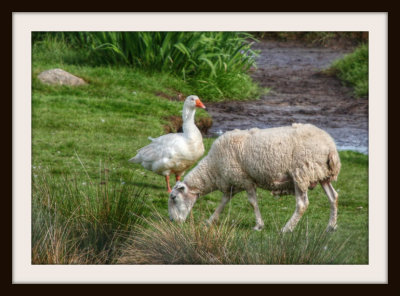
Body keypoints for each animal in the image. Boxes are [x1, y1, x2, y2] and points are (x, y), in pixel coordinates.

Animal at [168, 123, 340, 232]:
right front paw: (210, 220)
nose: (172, 221)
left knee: (302, 204)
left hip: (301, 172)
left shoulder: (245, 180)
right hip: (321, 174)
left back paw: (287, 229)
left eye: (174, 198)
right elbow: (223, 202)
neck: (213, 168)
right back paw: (330, 226)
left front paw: (258, 225)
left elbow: (252, 203)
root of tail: (330, 146)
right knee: (333, 196)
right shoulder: (233, 183)